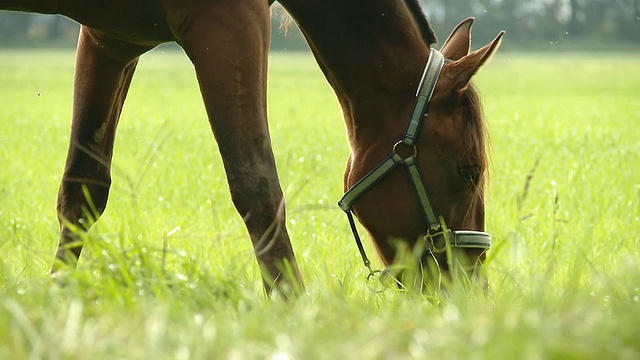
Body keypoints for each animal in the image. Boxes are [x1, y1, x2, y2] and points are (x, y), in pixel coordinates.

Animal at [0, 0, 500, 296]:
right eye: (468, 172)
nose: (473, 287)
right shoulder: (229, 23)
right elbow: (257, 186)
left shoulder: (113, 40)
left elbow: (83, 189)